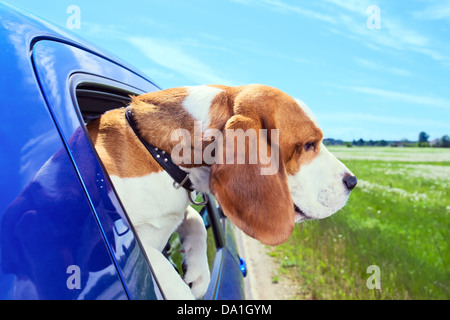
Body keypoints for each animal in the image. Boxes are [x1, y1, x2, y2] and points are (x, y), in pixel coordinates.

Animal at [86, 84, 356, 298]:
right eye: (309, 145)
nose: (352, 182)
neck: (160, 155)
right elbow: (151, 257)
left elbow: (194, 220)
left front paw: (198, 273)